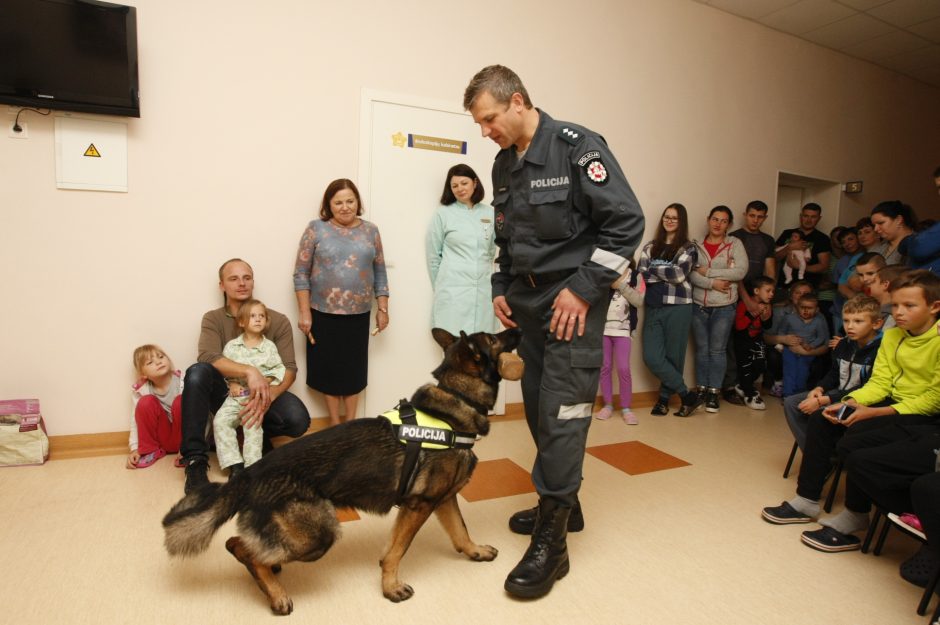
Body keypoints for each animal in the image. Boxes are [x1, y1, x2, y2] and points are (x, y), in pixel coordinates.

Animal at [162, 326, 520, 616]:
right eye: (492, 338)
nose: (516, 328)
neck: (456, 401)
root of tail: (250, 475)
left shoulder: (441, 500)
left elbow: (460, 532)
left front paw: (474, 551)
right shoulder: (419, 506)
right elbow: (396, 552)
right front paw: (390, 586)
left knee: (242, 545)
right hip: (321, 534)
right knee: (243, 550)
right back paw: (276, 595)